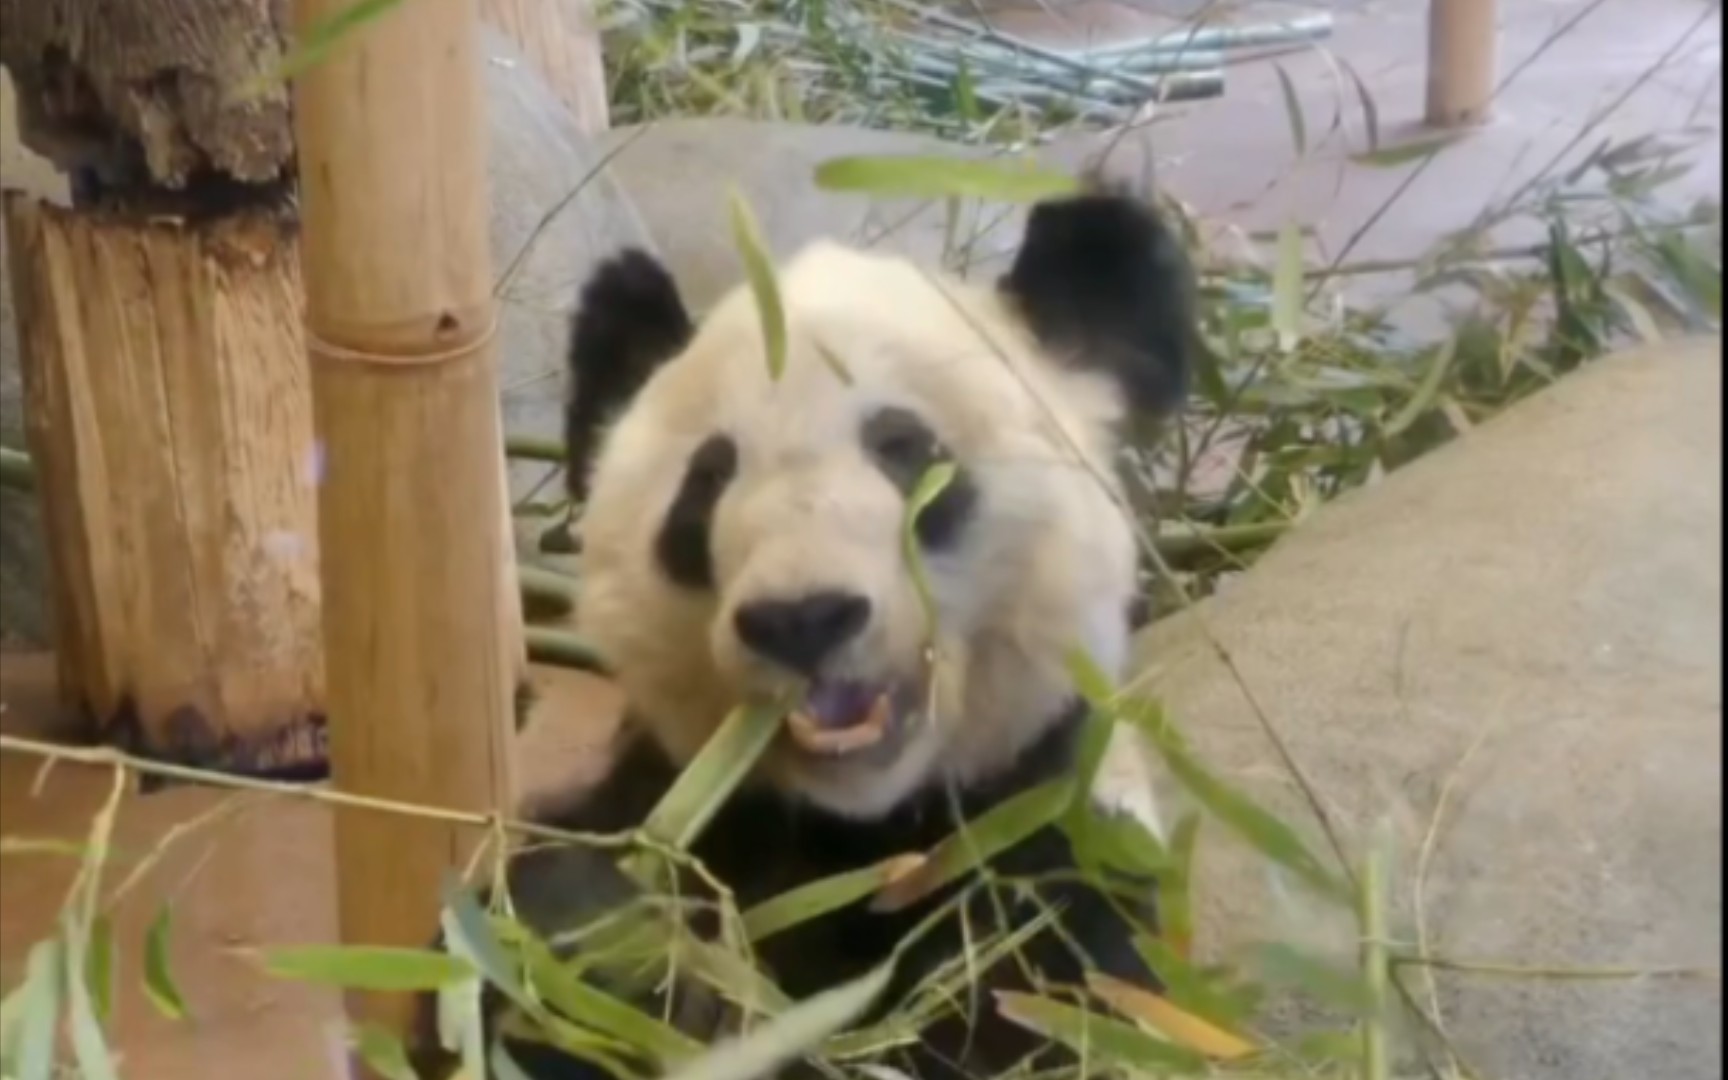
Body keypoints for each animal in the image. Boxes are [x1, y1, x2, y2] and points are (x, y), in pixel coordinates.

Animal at [428, 177, 1202, 1078]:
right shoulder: (681, 807)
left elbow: (1030, 1023)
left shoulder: (1054, 864)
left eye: (906, 451)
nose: (802, 617)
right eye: (707, 481)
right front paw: (589, 940)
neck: (862, 836)